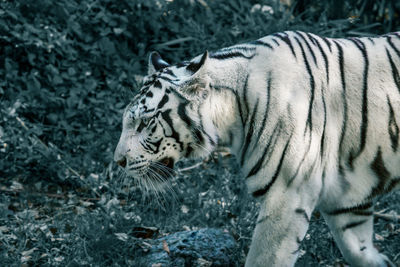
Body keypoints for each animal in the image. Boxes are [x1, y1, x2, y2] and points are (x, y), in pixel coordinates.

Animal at [114, 31, 398, 267]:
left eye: (144, 123)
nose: (118, 161)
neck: (233, 115)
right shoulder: (346, 195)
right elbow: (356, 247)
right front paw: (382, 262)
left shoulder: (288, 194)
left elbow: (264, 257)